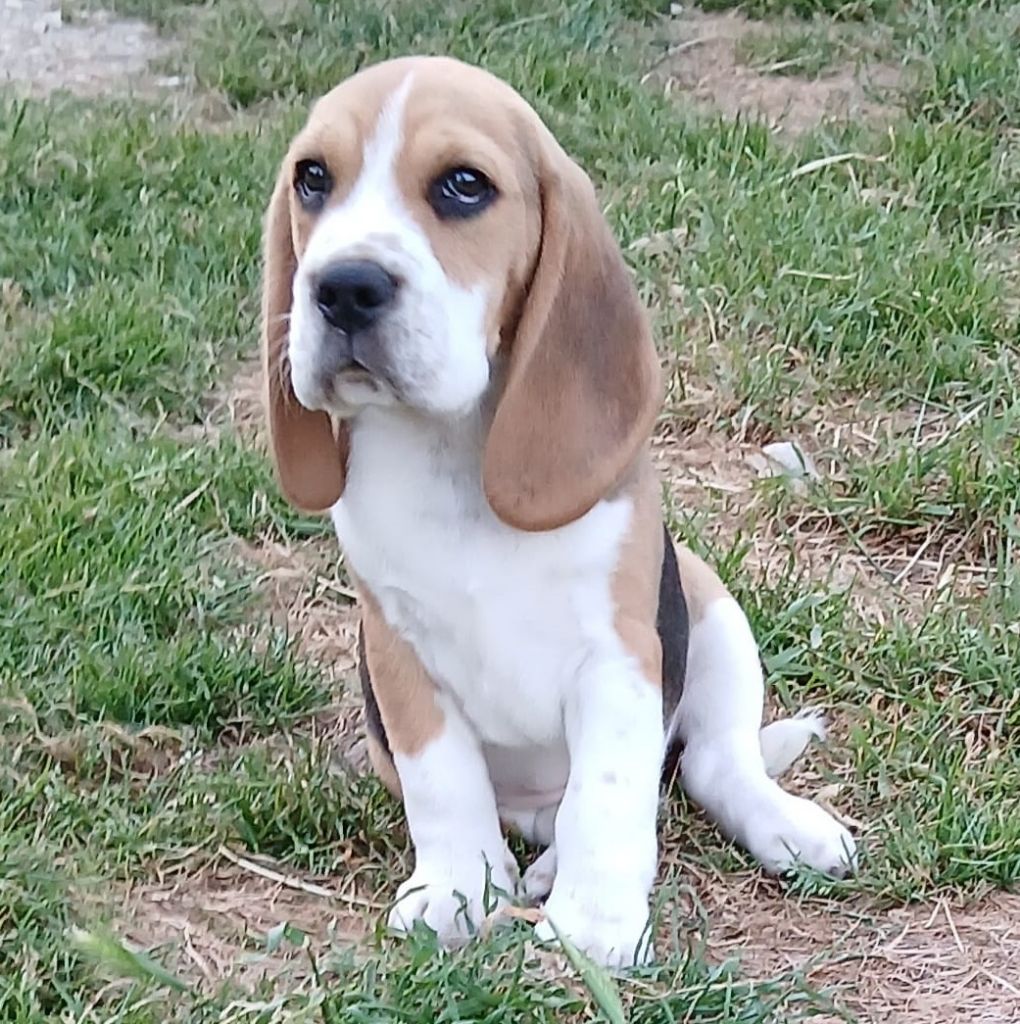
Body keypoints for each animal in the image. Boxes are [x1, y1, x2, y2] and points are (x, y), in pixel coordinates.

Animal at [259, 56, 856, 966]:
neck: (451, 454)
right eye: (312, 179)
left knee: (710, 767)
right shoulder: (397, 658)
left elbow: (608, 796)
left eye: (464, 185)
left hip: (710, 605)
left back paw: (783, 827)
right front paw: (455, 889)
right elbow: (444, 785)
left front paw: (596, 926)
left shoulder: (617, 657)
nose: (342, 287)